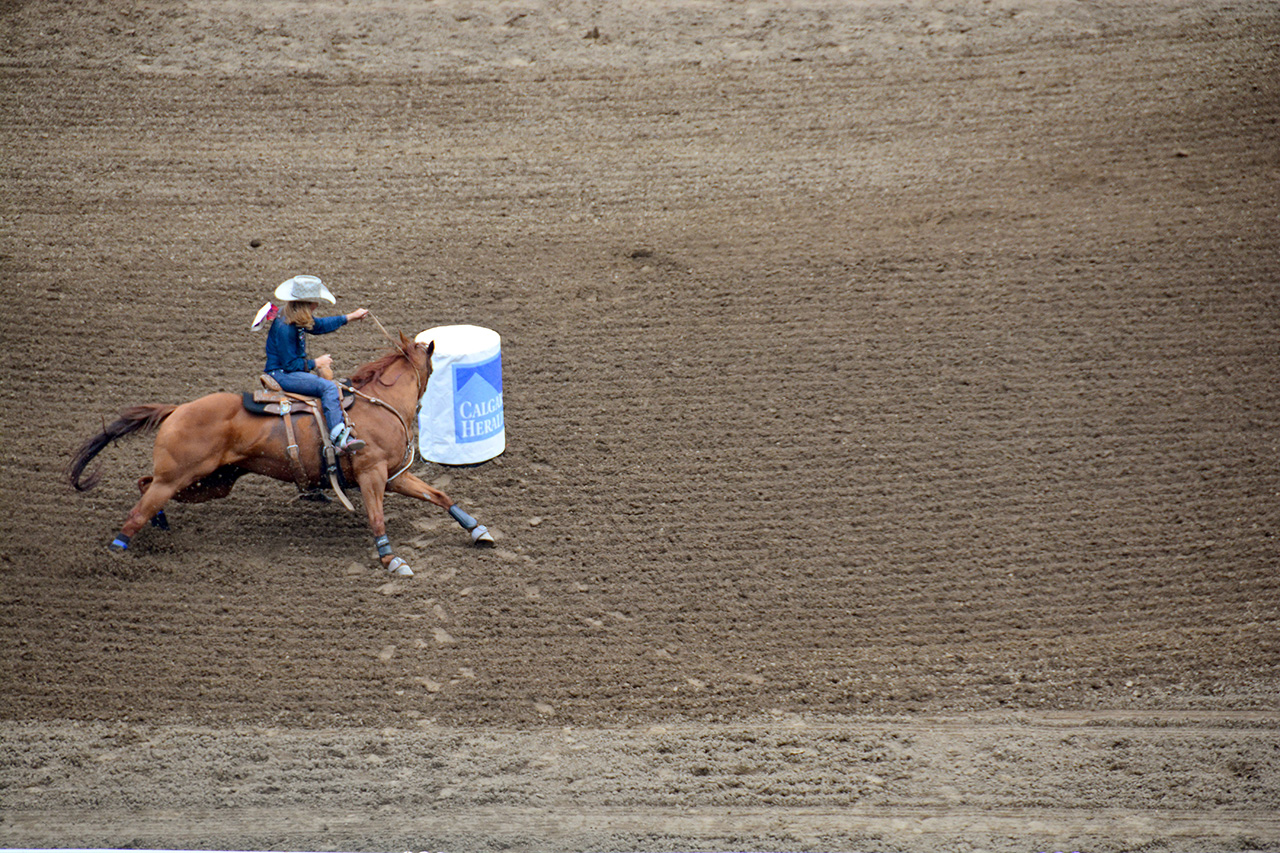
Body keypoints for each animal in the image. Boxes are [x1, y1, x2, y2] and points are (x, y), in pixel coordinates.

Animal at [63, 327, 494, 573]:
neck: (378, 402)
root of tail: (177, 409)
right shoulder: (372, 475)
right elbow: (376, 518)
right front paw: (391, 560)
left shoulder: (392, 476)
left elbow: (440, 495)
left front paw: (478, 530)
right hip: (181, 476)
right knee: (137, 509)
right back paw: (115, 553)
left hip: (211, 481)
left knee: (143, 484)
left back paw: (162, 526)